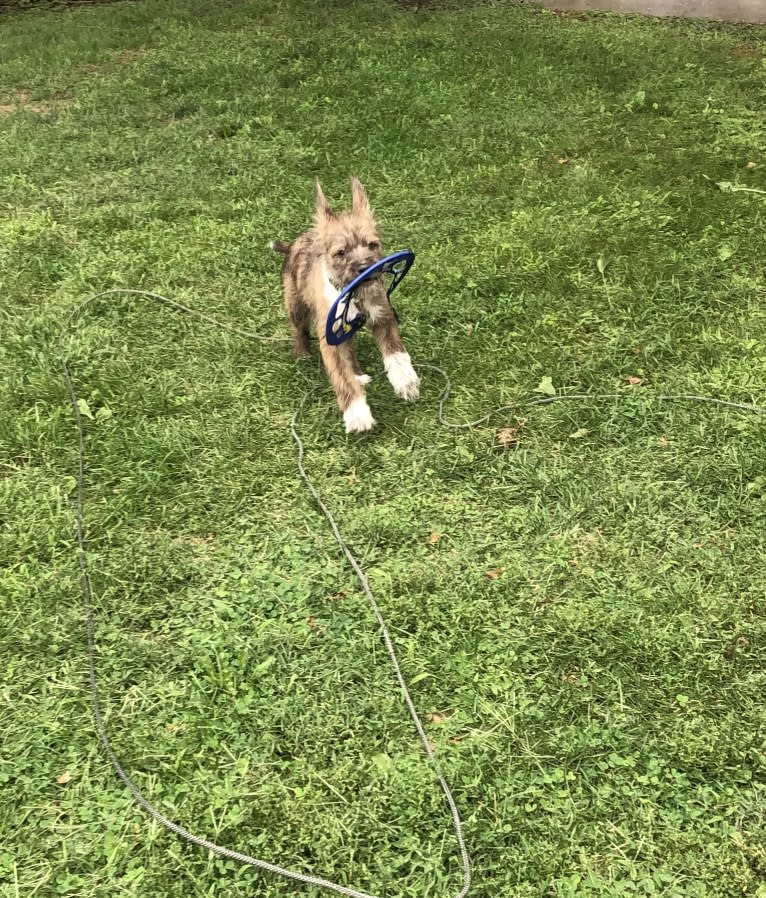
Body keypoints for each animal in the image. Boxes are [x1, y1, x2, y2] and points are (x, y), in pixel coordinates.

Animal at [272, 177, 424, 432]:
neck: (355, 296)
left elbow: (396, 353)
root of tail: (295, 242)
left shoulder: (383, 317)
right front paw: (357, 414)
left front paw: (406, 381)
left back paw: (359, 374)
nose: (364, 268)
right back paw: (302, 354)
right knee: (299, 330)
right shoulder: (329, 339)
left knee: (350, 347)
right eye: (341, 253)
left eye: (372, 245)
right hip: (296, 305)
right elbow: (341, 376)